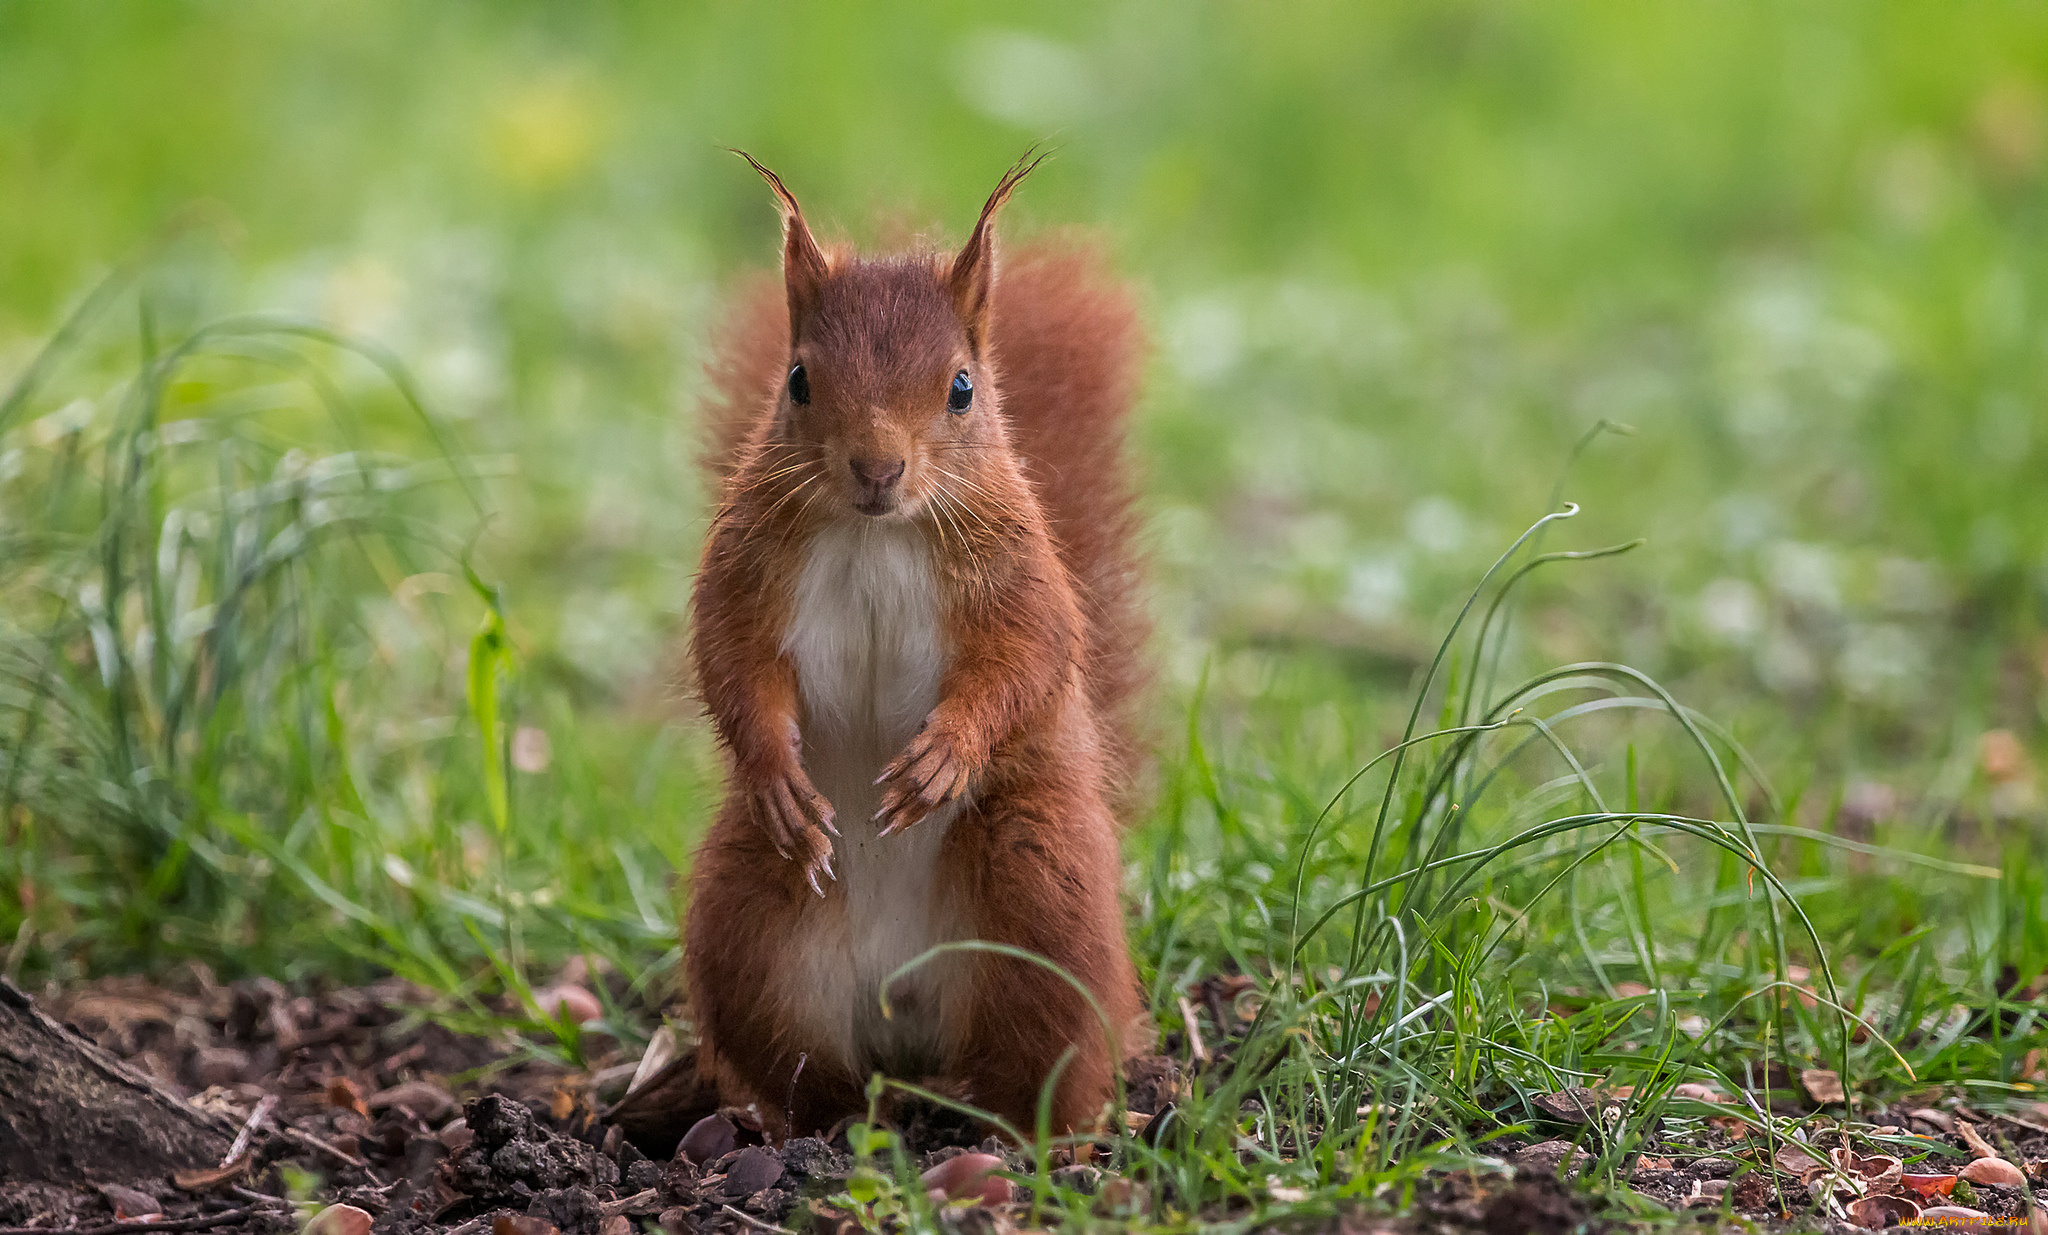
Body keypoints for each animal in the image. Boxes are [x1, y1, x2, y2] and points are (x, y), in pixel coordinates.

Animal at [679, 154, 1146, 1138]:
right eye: (798, 380)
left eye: (963, 387)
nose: (877, 468)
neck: (877, 533)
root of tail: (905, 1010)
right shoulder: (745, 570)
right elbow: (731, 659)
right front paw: (776, 772)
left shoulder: (1020, 578)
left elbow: (1026, 660)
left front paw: (945, 756)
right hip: (752, 928)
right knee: (807, 1070)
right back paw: (823, 1126)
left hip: (1038, 903)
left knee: (1043, 1058)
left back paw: (1028, 1132)